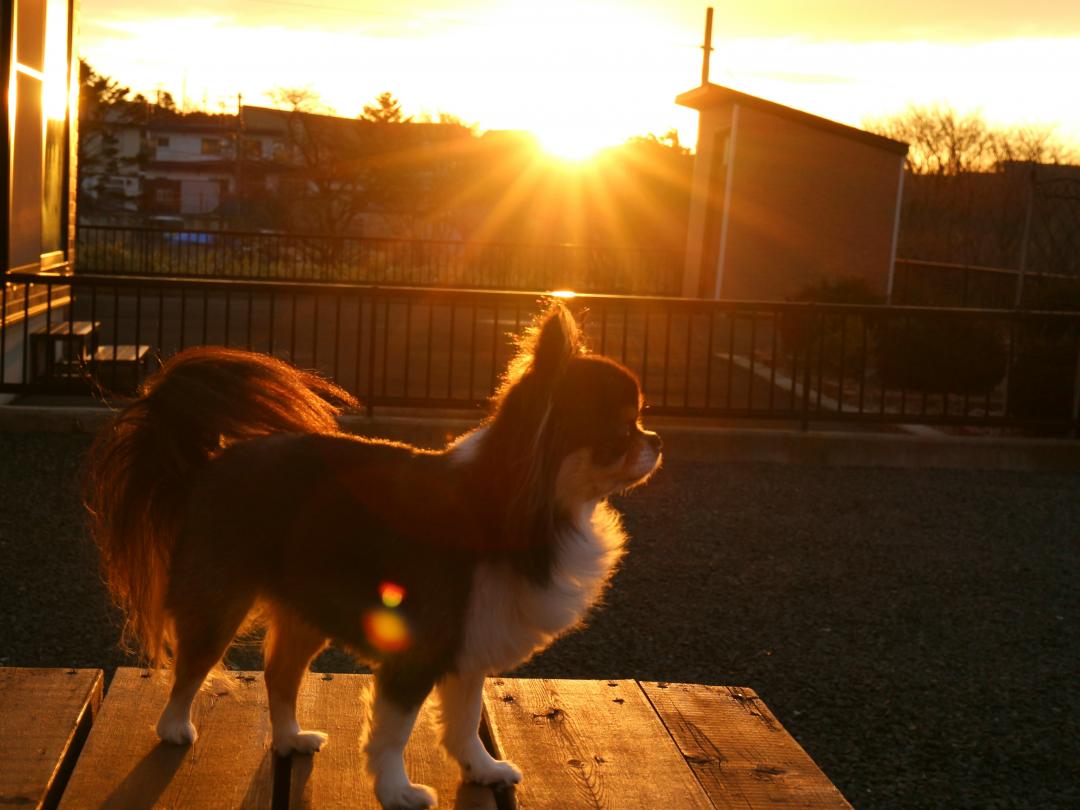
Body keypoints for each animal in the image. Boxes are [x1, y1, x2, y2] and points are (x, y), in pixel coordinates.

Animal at [84, 304, 656, 810]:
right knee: (193, 666)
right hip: (220, 601)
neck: (521, 506)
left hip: (305, 610)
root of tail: (208, 463)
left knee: (279, 673)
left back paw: (290, 738)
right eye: (622, 432)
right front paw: (397, 792)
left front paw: (482, 770)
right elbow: (394, 732)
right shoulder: (416, 652)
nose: (655, 441)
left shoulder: (467, 648)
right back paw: (176, 727)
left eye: (639, 423)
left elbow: (464, 723)